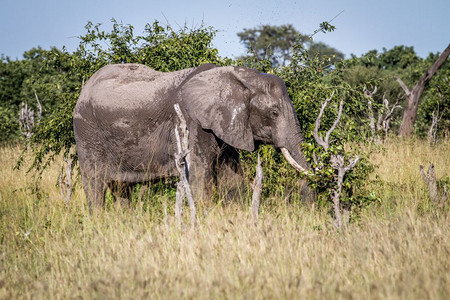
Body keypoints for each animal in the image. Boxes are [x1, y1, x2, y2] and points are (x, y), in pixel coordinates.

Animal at [74, 63, 312, 209]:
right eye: (274, 113)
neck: (237, 76)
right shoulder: (191, 122)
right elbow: (199, 177)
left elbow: (232, 179)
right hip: (86, 130)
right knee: (94, 182)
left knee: (121, 188)